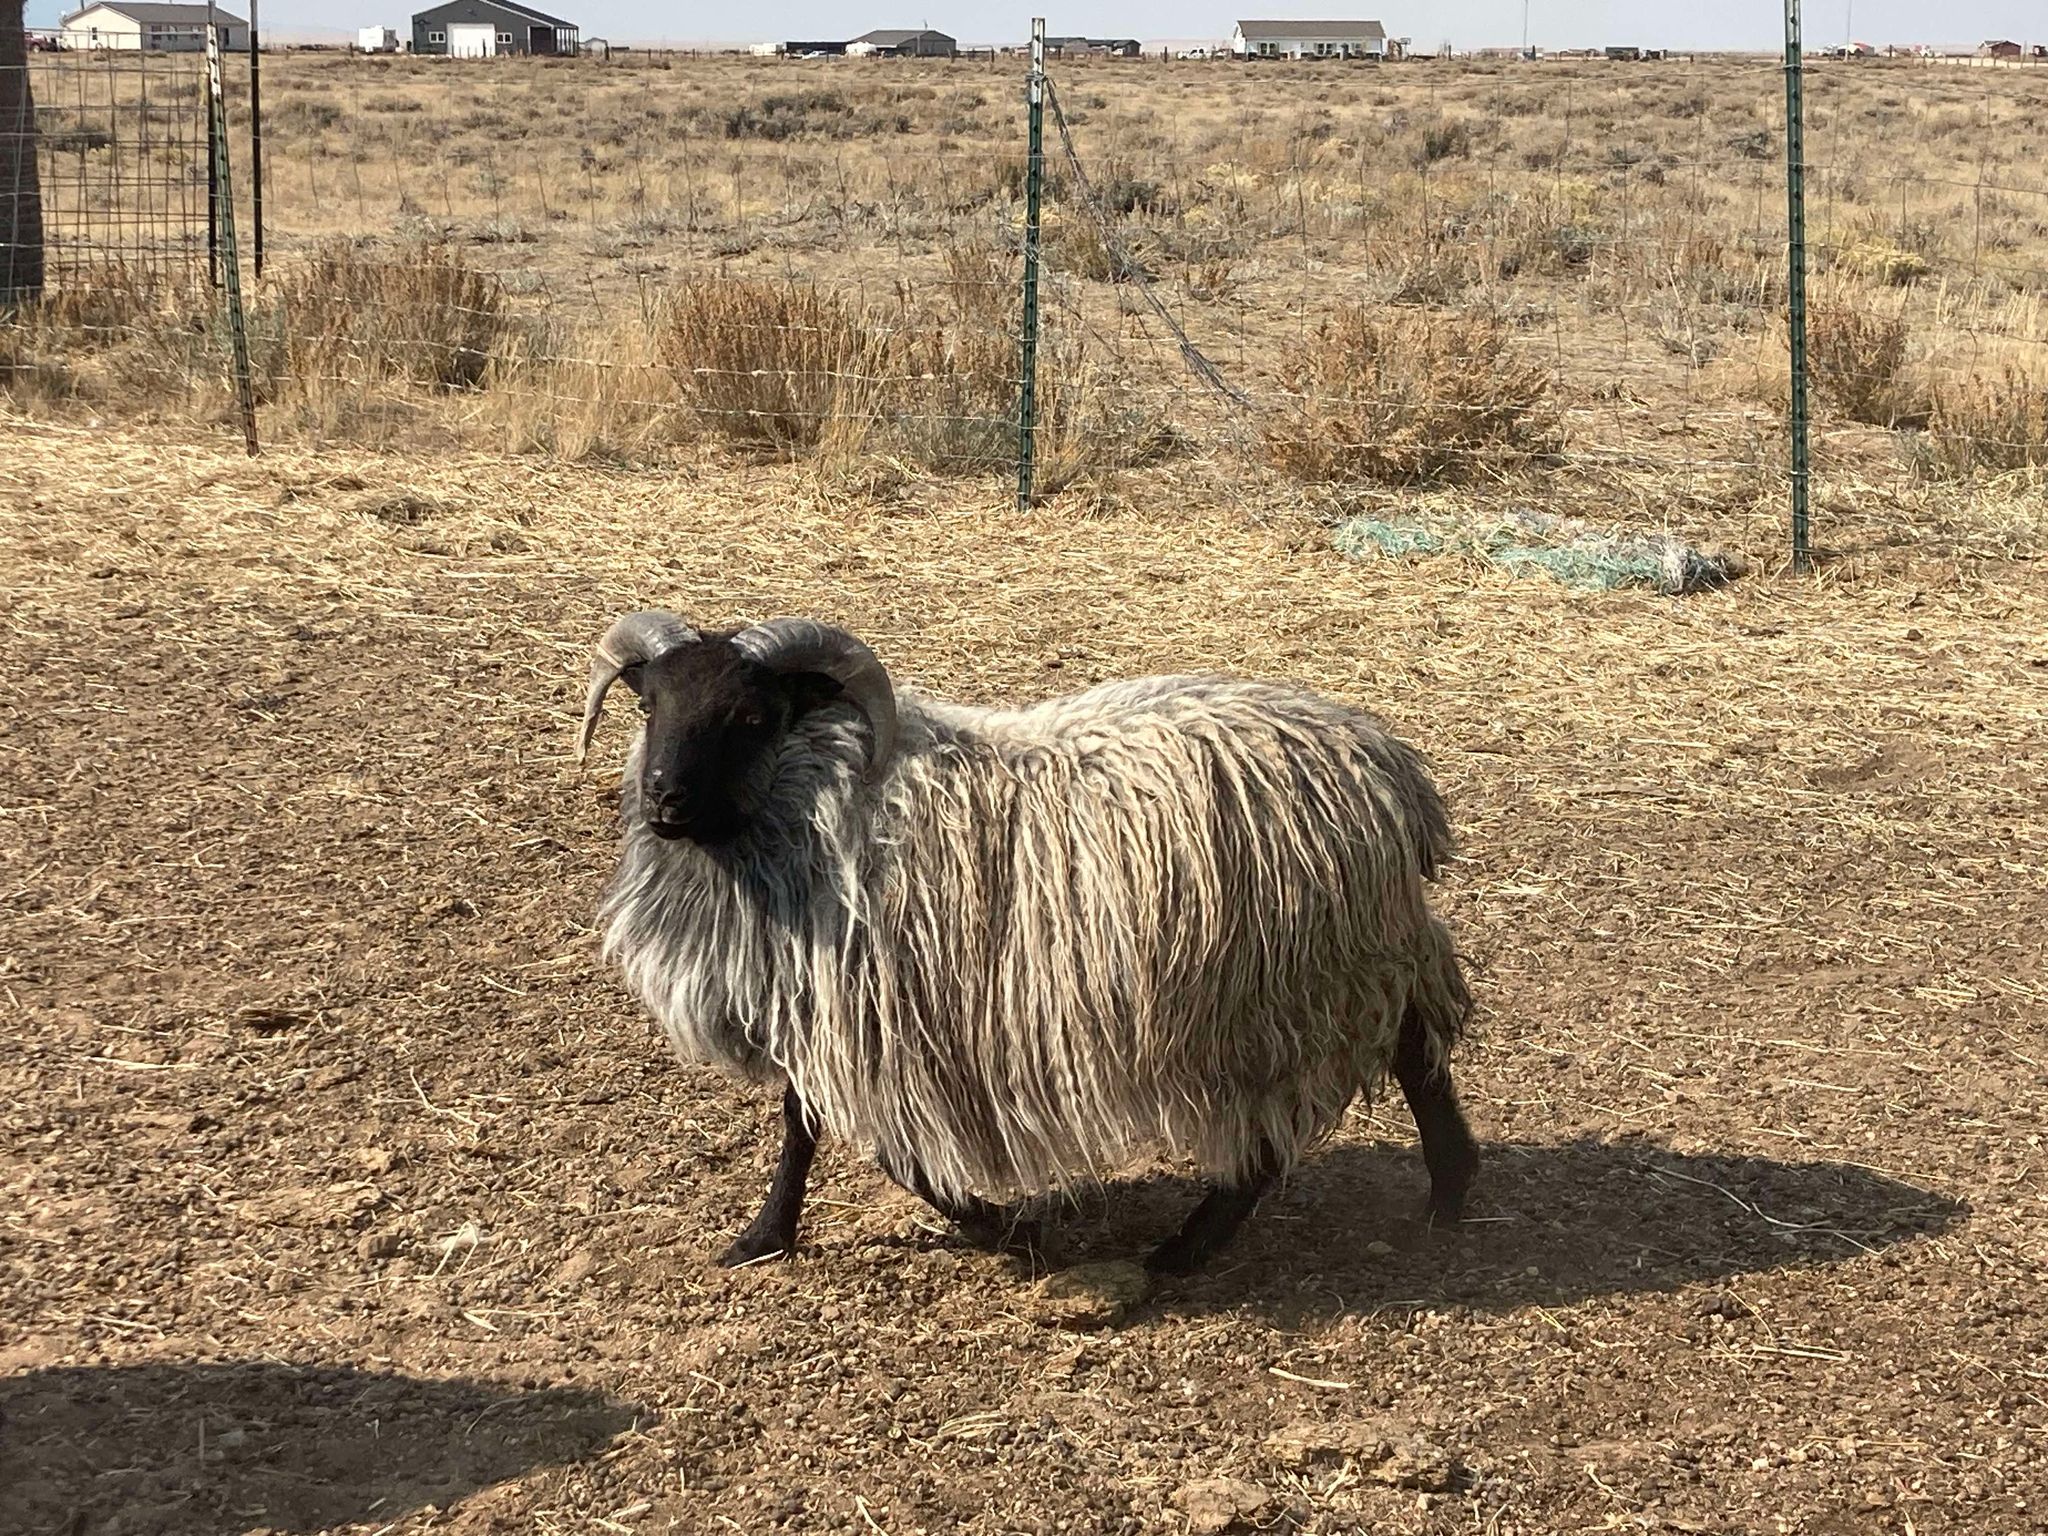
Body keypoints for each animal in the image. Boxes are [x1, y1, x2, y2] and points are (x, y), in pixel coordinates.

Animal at [577, 614, 1474, 1277]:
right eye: (650, 704)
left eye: (753, 715)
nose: (663, 798)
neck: (820, 799)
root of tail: (1393, 773)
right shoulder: (816, 1001)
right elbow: (802, 1123)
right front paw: (765, 1237)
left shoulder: (875, 1017)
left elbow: (882, 1149)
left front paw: (997, 1225)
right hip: (1352, 961)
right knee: (1417, 1044)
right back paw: (1449, 1192)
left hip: (1281, 995)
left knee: (1277, 1137)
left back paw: (1182, 1254)